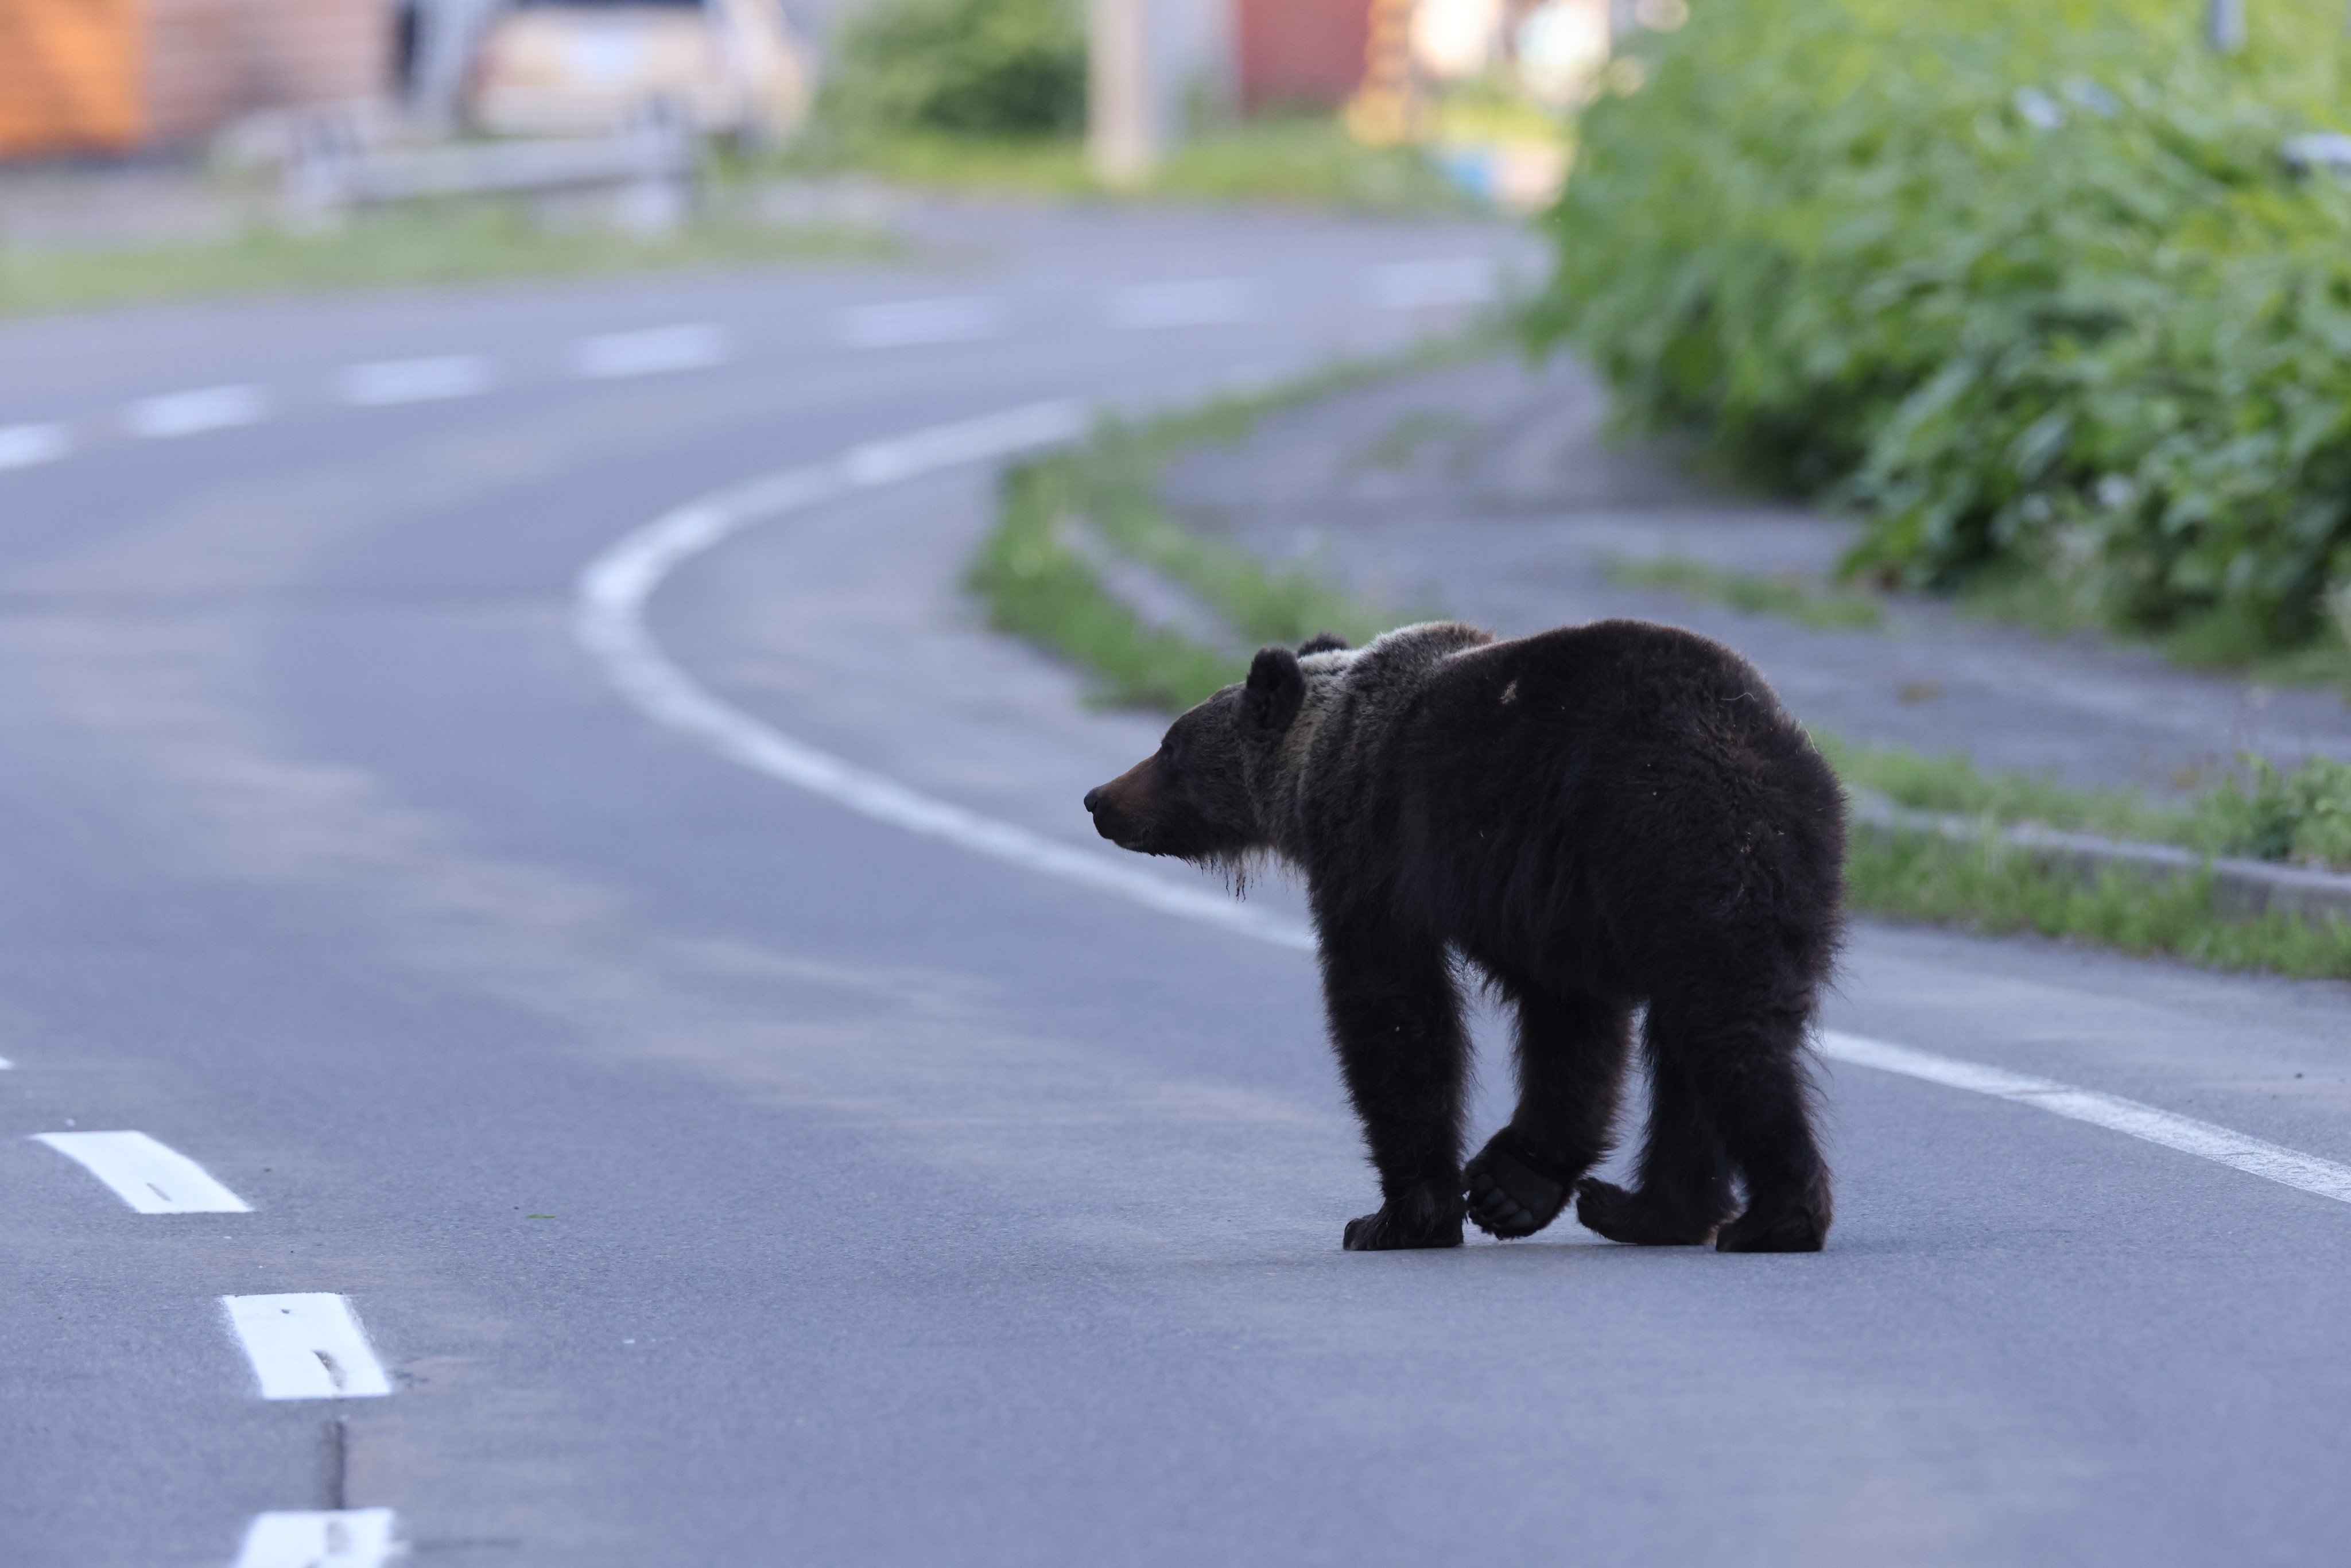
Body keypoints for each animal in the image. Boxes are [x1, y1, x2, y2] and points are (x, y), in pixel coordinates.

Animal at [1082, 619, 1844, 1254]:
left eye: (1168, 747)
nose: (1098, 799)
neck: (1317, 758)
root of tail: (1778, 757)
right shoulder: (1548, 903)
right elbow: (1571, 1024)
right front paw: (1513, 1186)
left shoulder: (1383, 849)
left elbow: (1392, 1008)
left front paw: (1399, 1216)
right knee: (1692, 1041)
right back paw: (1648, 1210)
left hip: (1675, 845)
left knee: (1724, 1029)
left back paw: (1775, 1217)